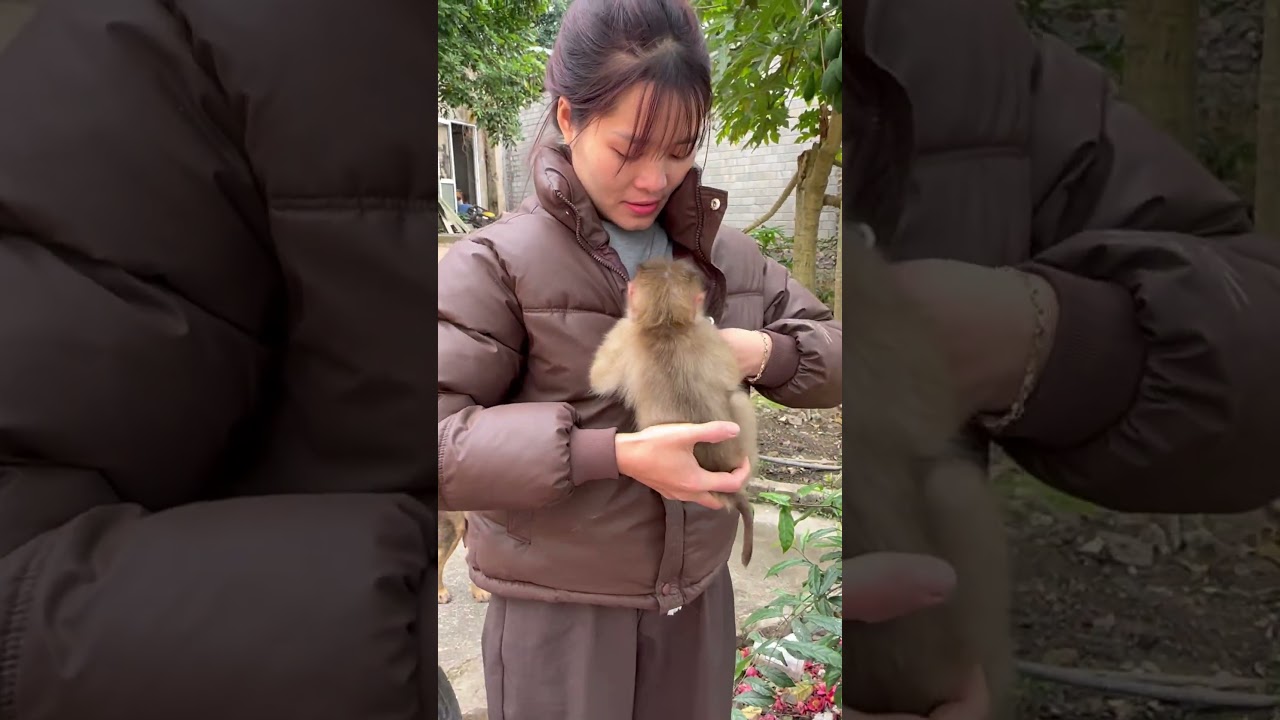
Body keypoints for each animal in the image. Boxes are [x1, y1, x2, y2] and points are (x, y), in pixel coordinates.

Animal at [588, 257, 757, 567]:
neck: (666, 323)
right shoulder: (705, 334)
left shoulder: (626, 330)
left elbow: (598, 379)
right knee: (737, 397)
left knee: (736, 397)